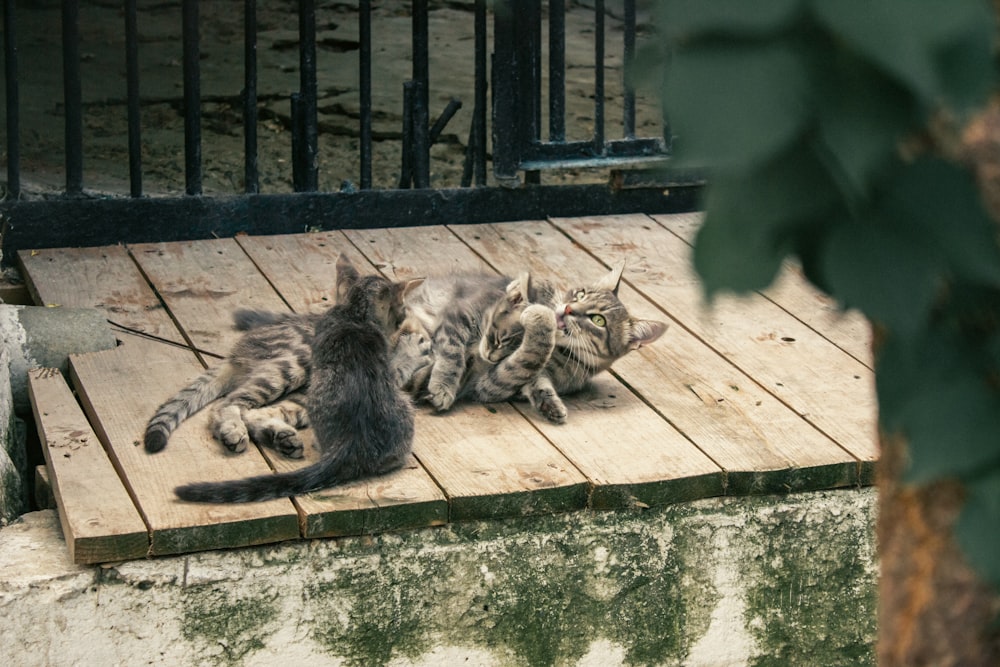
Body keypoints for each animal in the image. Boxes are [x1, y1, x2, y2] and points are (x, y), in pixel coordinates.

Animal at [173, 258, 422, 504]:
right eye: (400, 312)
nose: (402, 323)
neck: (355, 313)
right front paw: (414, 347)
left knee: (254, 413)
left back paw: (281, 438)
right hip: (292, 368)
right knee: (233, 405)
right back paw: (239, 431)